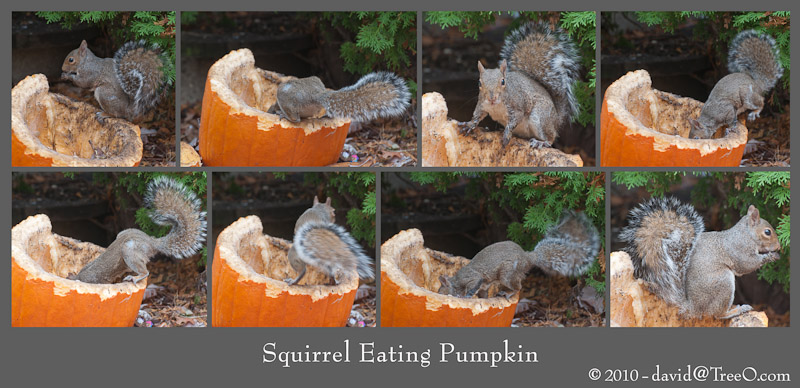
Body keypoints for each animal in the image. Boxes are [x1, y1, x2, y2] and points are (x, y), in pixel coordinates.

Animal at [262, 71, 410, 123]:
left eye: (270, 110)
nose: (270, 111)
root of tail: (317, 94)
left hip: (286, 98)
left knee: (296, 119)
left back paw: (285, 116)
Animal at [438, 211, 600, 298]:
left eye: (441, 291)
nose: (440, 294)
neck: (456, 280)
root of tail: (528, 257)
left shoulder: (472, 278)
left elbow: (472, 286)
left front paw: (465, 296)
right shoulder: (483, 286)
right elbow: (483, 293)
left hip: (508, 273)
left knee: (519, 288)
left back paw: (508, 293)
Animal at [456, 21, 580, 149]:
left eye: (503, 81)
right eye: (479, 82)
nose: (491, 98)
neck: (496, 105)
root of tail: (557, 119)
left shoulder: (517, 106)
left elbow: (515, 120)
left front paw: (507, 134)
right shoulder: (482, 104)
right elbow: (477, 115)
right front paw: (470, 124)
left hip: (541, 117)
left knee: (551, 136)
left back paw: (541, 142)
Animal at [620, 197, 780, 318]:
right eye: (767, 232)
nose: (779, 247)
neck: (746, 234)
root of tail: (693, 307)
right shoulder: (739, 248)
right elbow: (747, 264)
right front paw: (770, 256)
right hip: (723, 282)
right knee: (716, 314)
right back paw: (737, 310)